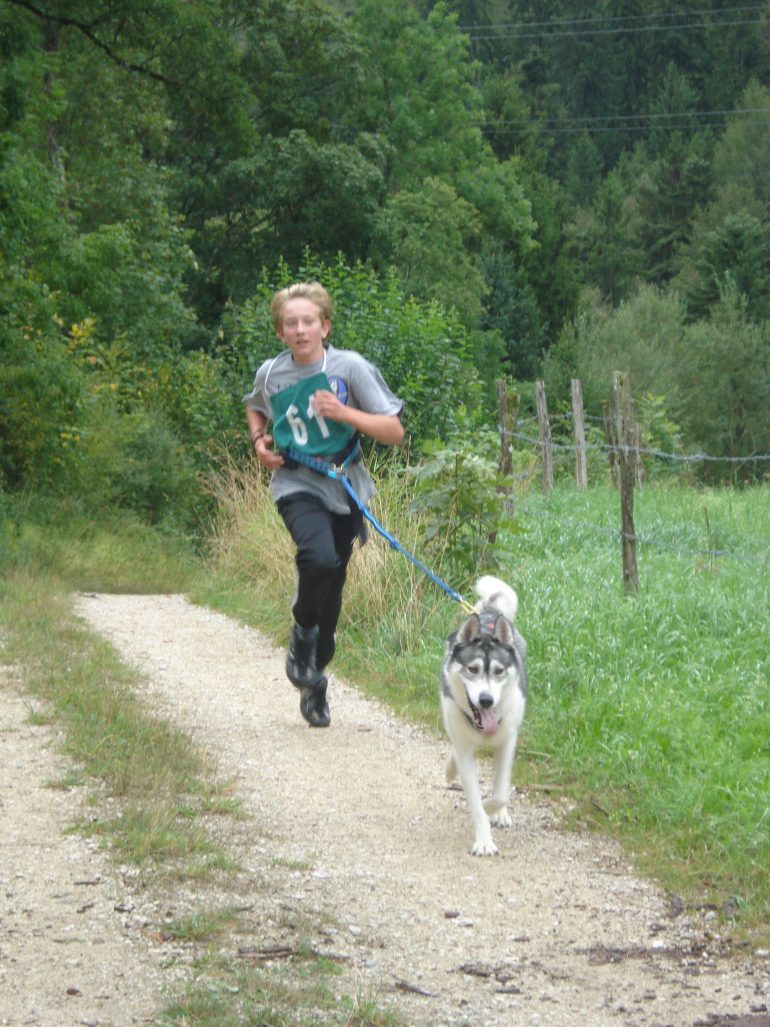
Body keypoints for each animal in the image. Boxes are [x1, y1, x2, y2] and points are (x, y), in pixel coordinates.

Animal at [443, 575, 529, 854]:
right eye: (473, 669)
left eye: (499, 671)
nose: (486, 700)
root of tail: (490, 614)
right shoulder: (465, 748)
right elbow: (474, 799)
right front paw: (483, 839)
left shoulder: (507, 742)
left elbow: (500, 793)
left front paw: (493, 808)